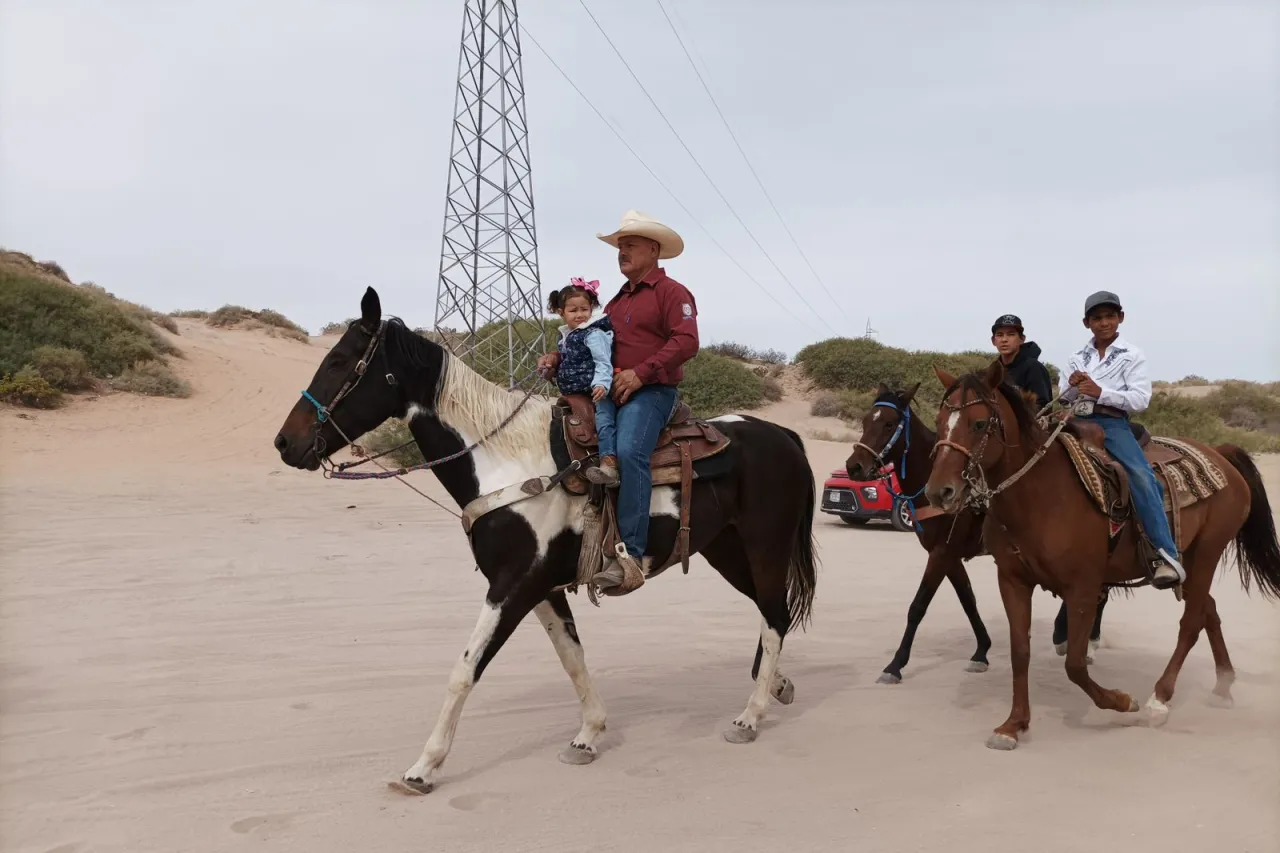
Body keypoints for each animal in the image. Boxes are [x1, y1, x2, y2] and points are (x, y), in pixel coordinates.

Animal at [275, 285, 824, 788]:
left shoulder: (512, 586)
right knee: (771, 613)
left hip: (765, 546)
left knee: (775, 617)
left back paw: (750, 717)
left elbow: (464, 670)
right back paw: (775, 688)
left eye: (340, 361)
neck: (504, 463)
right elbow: (572, 657)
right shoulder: (541, 588)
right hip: (726, 550)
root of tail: (784, 436)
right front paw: (589, 735)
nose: (285, 443)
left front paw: (424, 766)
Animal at [844, 384, 1105, 686]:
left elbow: (918, 605)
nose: (854, 467)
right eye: (865, 421)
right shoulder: (949, 555)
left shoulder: (942, 553)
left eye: (889, 423)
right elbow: (968, 599)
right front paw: (981, 651)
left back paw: (1086, 642)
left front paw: (895, 664)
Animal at [926, 361, 1274, 747]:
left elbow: (1075, 664)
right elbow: (1021, 652)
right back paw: (1223, 687)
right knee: (1208, 612)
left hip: (1208, 554)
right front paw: (1013, 725)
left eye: (978, 424)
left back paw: (1158, 700)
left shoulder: (1083, 588)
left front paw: (1123, 701)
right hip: (1192, 562)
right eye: (939, 421)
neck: (1040, 494)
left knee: (1191, 624)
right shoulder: (1013, 581)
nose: (939, 492)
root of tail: (1220, 455)